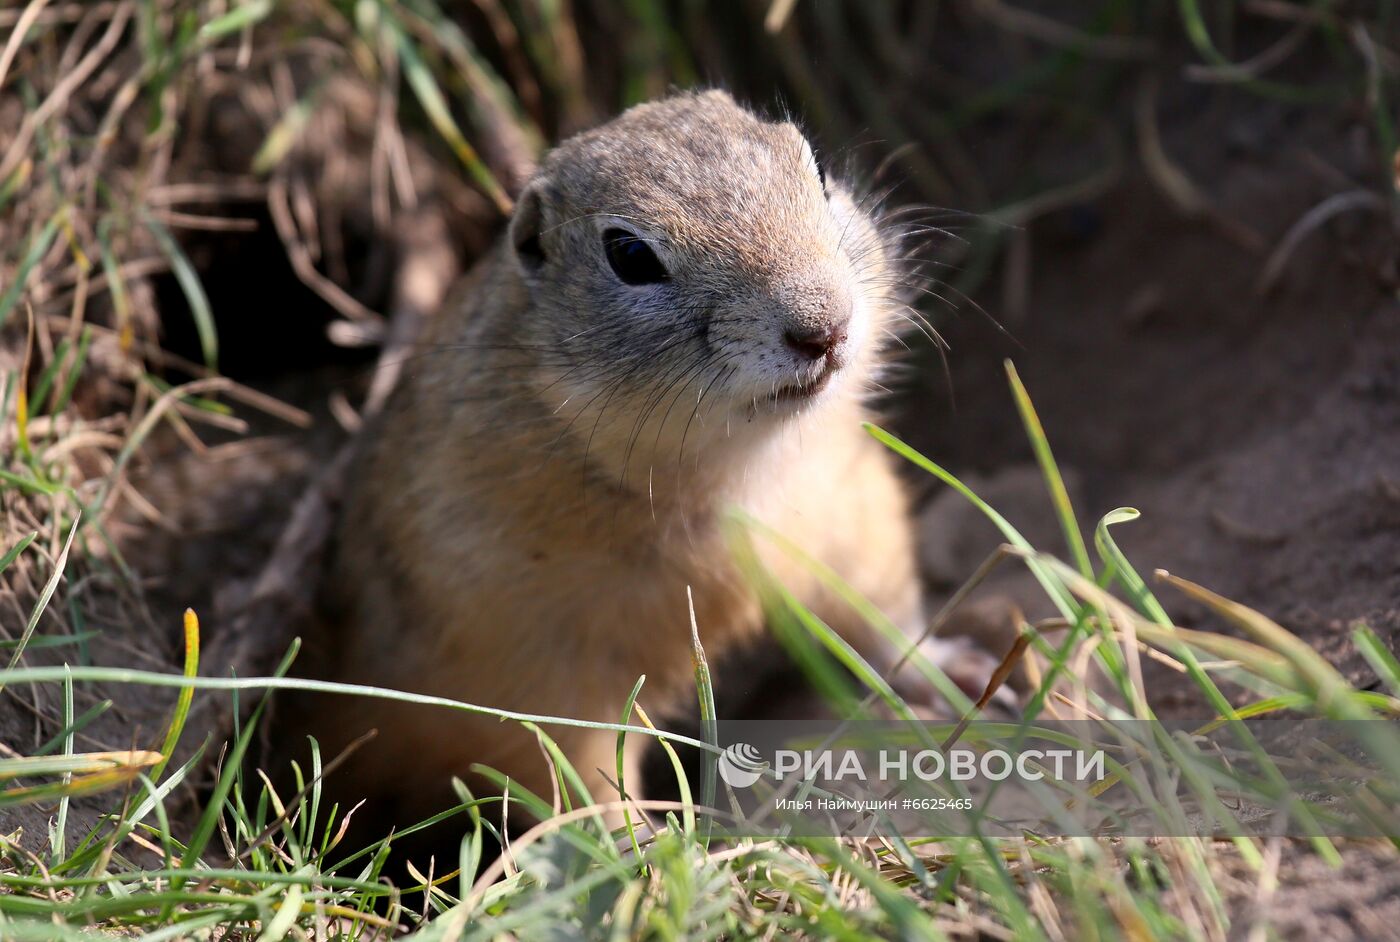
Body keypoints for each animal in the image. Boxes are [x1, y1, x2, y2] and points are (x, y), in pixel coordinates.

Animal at [303, 88, 963, 823]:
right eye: (629, 254)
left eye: (817, 171)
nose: (824, 327)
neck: (726, 472)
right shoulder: (538, 667)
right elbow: (576, 771)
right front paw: (641, 843)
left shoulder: (850, 512)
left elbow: (882, 614)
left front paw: (947, 670)